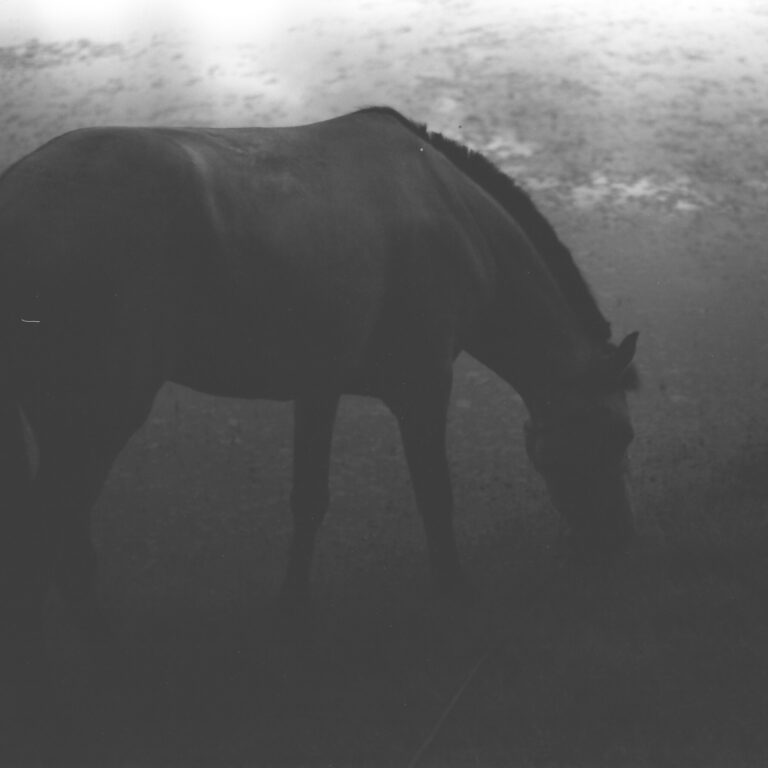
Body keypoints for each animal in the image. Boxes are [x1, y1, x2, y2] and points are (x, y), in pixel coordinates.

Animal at [0, 103, 636, 640]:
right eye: (622, 434)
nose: (615, 541)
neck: (455, 214)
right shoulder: (425, 385)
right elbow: (436, 495)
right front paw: (455, 593)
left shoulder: (318, 386)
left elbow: (309, 500)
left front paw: (293, 604)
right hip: (98, 417)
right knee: (47, 532)